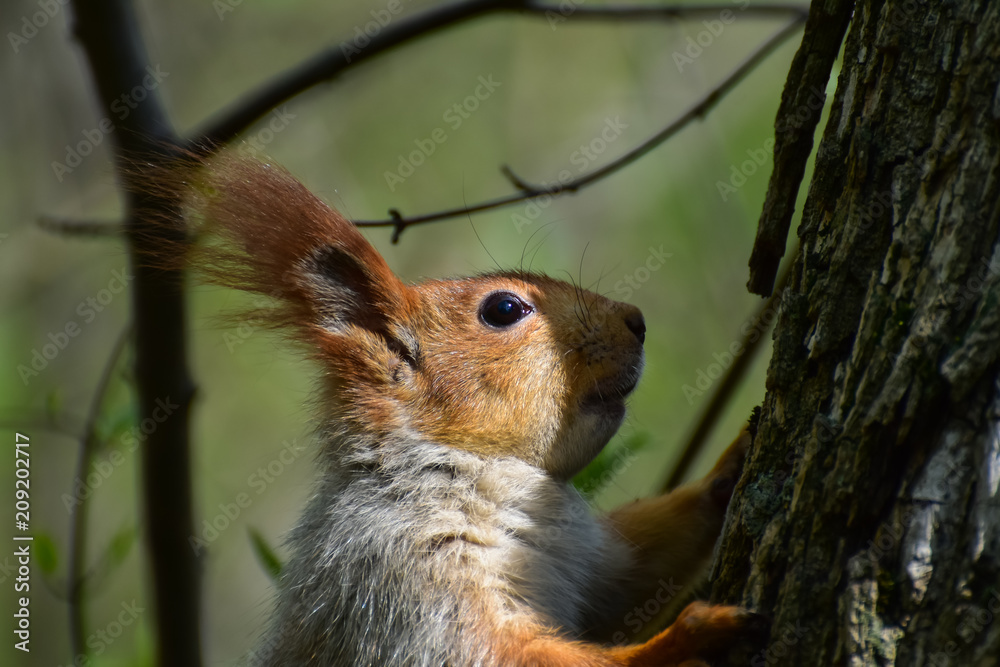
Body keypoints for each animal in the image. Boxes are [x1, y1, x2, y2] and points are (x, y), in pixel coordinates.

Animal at [168, 153, 760, 667]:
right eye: (504, 308)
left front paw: (732, 464)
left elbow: (632, 575)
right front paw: (682, 640)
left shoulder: (587, 560)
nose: (636, 320)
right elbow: (503, 654)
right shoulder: (397, 581)